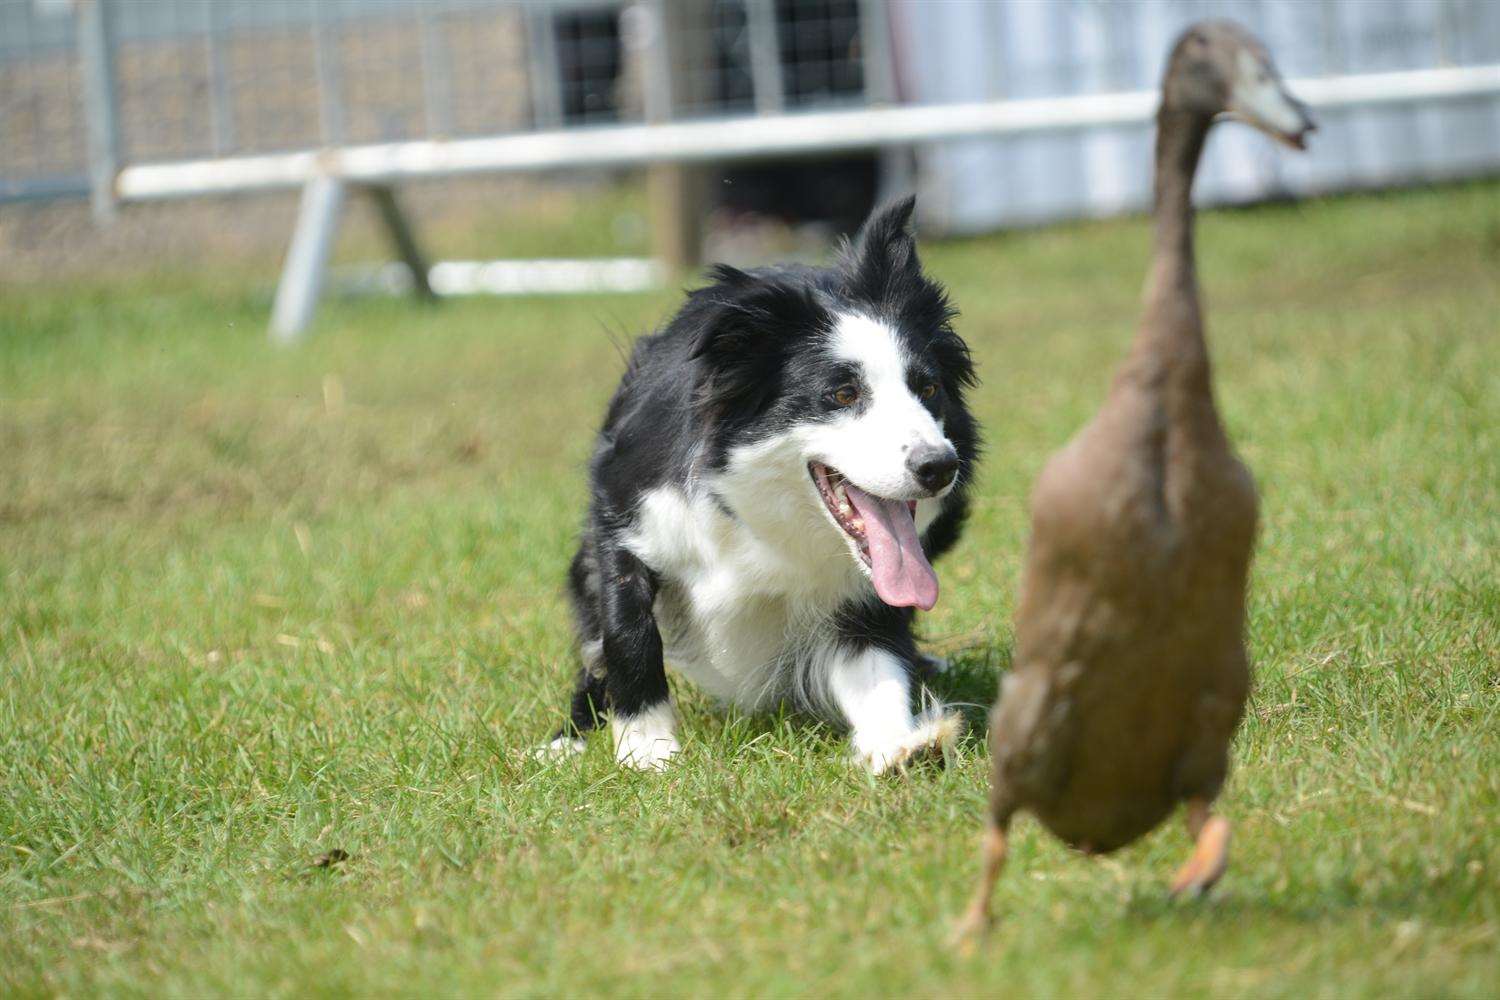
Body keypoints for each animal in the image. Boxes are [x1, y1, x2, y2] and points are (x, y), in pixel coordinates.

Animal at [552, 197, 984, 773]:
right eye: (843, 394)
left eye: (929, 388)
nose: (939, 467)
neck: (758, 518)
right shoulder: (627, 511)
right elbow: (627, 630)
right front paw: (648, 752)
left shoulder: (865, 588)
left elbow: (876, 652)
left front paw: (901, 744)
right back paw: (568, 740)